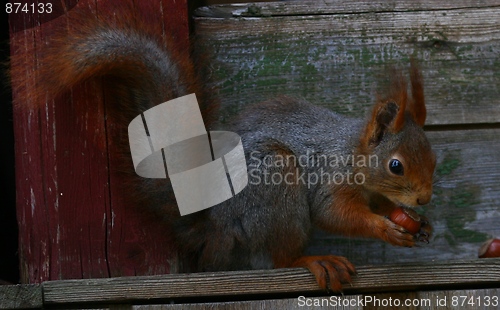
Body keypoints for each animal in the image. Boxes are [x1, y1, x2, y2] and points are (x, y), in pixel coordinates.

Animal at [9, 4, 436, 292]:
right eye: (396, 166)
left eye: (433, 158)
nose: (425, 199)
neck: (354, 154)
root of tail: (215, 227)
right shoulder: (331, 176)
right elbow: (334, 213)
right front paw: (384, 227)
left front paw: (414, 222)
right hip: (273, 181)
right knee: (279, 258)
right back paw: (312, 259)